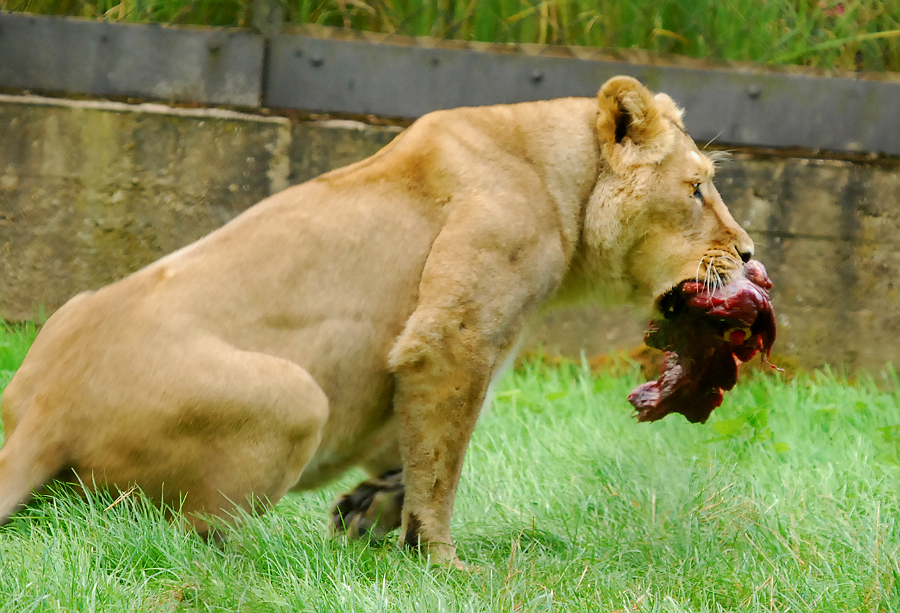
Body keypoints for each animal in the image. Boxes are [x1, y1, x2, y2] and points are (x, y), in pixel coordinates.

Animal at [0, 76, 753, 566]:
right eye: (696, 188)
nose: (747, 252)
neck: (561, 179)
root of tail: (46, 410)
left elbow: (416, 450)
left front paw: (370, 511)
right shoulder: (452, 340)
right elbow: (444, 461)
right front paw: (441, 563)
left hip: (72, 314)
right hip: (296, 396)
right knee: (168, 533)